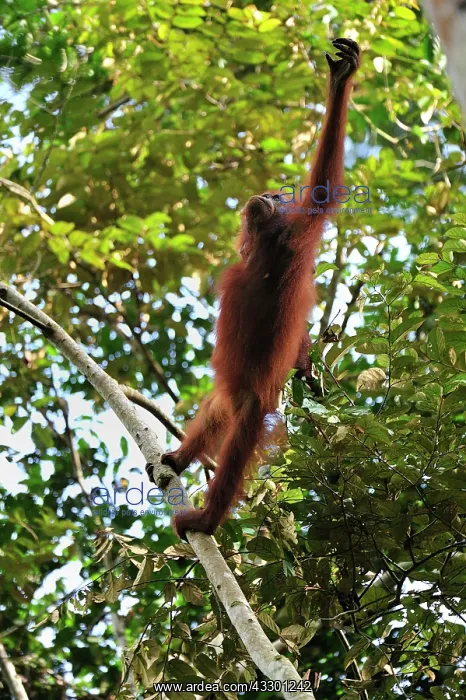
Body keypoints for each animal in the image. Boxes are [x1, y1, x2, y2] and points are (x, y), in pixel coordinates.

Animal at [146, 38, 361, 539]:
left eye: (281, 198)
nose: (264, 197)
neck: (263, 247)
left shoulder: (295, 238)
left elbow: (322, 188)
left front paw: (341, 80)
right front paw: (307, 366)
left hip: (254, 400)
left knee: (237, 441)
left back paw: (206, 518)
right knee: (217, 406)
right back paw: (179, 459)